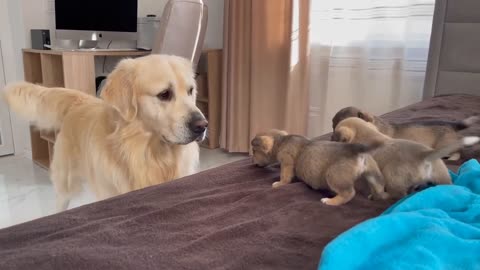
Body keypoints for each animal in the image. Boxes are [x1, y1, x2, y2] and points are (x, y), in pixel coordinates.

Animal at [2, 54, 208, 211]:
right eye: (164, 94)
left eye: (191, 90)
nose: (202, 125)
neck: (152, 155)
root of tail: (80, 101)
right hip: (65, 184)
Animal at [251, 130, 386, 206]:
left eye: (254, 151)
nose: (252, 163)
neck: (281, 141)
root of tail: (355, 150)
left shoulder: (286, 163)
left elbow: (285, 177)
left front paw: (279, 184)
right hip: (374, 175)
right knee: (379, 188)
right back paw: (375, 197)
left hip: (333, 176)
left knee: (348, 193)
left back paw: (330, 202)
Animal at [334, 117, 480, 198]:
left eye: (335, 134)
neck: (368, 134)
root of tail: (424, 156)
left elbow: (374, 186)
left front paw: (373, 194)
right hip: (442, 177)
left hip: (391, 176)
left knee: (398, 195)